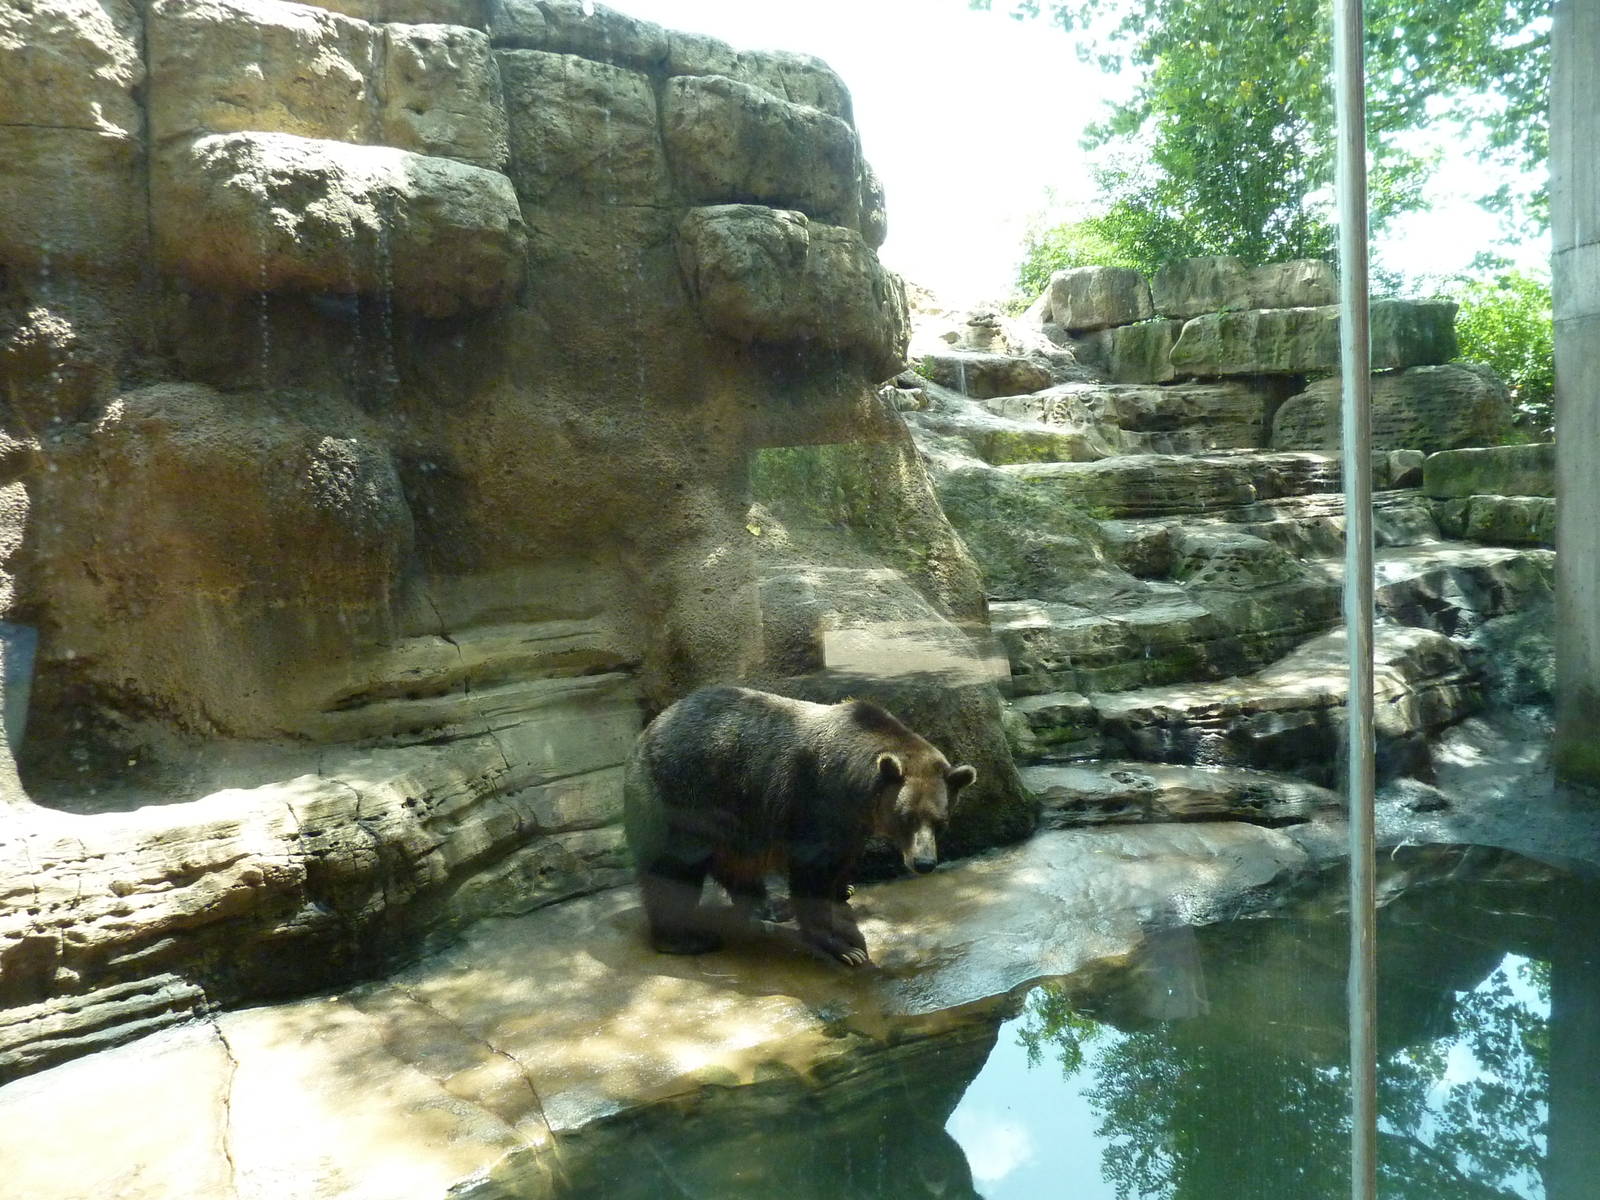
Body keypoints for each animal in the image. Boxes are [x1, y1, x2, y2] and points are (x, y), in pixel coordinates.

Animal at [623, 685, 977, 967]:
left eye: (941, 821)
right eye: (907, 817)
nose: (924, 862)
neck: (858, 787)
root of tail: (646, 733)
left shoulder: (851, 823)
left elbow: (843, 858)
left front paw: (844, 888)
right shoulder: (815, 802)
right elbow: (812, 872)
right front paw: (845, 947)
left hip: (734, 816)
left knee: (735, 862)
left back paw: (768, 905)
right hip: (684, 796)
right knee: (673, 867)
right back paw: (684, 938)